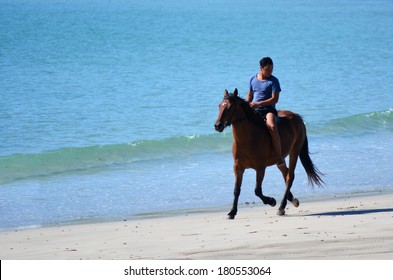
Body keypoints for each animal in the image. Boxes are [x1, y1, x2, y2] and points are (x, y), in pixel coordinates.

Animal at [214, 88, 322, 219]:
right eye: (220, 105)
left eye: (229, 107)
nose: (217, 125)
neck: (248, 139)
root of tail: (297, 117)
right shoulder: (238, 167)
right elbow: (236, 190)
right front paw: (232, 212)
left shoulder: (260, 168)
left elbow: (257, 190)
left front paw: (271, 201)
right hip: (280, 159)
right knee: (286, 174)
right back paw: (292, 200)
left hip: (294, 152)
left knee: (290, 177)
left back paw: (281, 206)